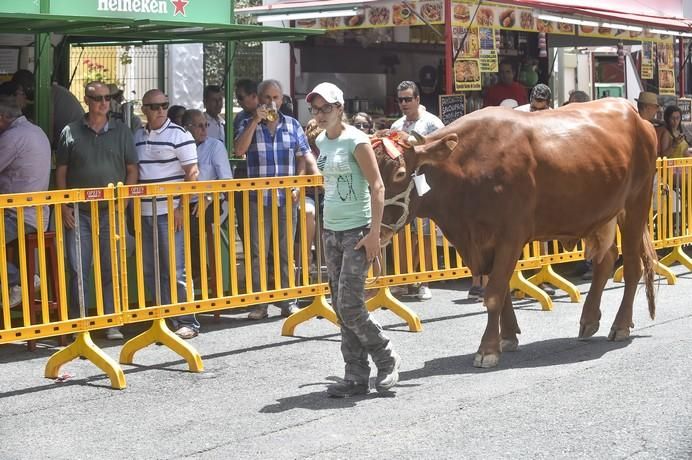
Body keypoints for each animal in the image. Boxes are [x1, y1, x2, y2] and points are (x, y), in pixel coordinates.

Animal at [376, 99, 656, 368]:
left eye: (400, 173)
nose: (374, 230)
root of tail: (635, 114)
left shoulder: (510, 236)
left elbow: (494, 293)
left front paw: (487, 350)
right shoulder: (482, 242)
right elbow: (502, 292)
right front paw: (508, 337)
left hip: (635, 204)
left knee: (632, 267)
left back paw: (620, 326)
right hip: (599, 214)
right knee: (605, 260)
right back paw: (588, 320)